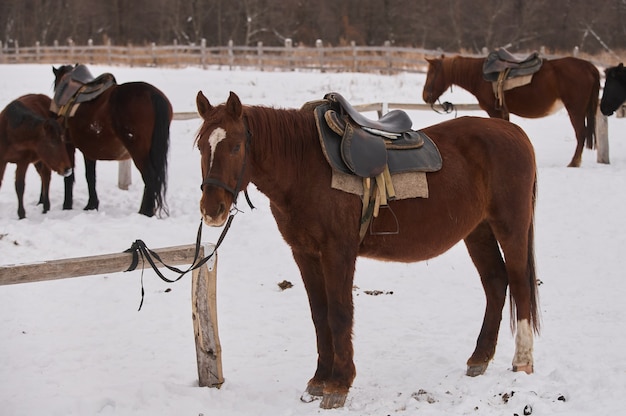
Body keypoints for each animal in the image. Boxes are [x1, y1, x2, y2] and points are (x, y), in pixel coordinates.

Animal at [51, 64, 172, 218]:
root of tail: (152, 94)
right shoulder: (89, 151)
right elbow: (90, 177)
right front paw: (91, 205)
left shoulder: (68, 145)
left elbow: (70, 176)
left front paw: (67, 206)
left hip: (138, 150)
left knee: (150, 176)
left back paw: (145, 212)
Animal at [194, 92, 536, 410]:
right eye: (201, 147)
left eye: (236, 147)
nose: (212, 210)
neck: (305, 166)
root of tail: (515, 132)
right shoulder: (304, 253)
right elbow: (319, 315)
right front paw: (319, 379)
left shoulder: (338, 251)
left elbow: (339, 314)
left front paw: (338, 385)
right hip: (478, 231)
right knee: (496, 282)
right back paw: (480, 357)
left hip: (510, 227)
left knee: (519, 283)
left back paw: (522, 360)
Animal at [422, 55, 596, 167]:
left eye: (431, 73)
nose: (425, 96)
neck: (479, 76)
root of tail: (589, 66)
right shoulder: (503, 113)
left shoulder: (494, 111)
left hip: (575, 109)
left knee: (581, 133)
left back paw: (574, 162)